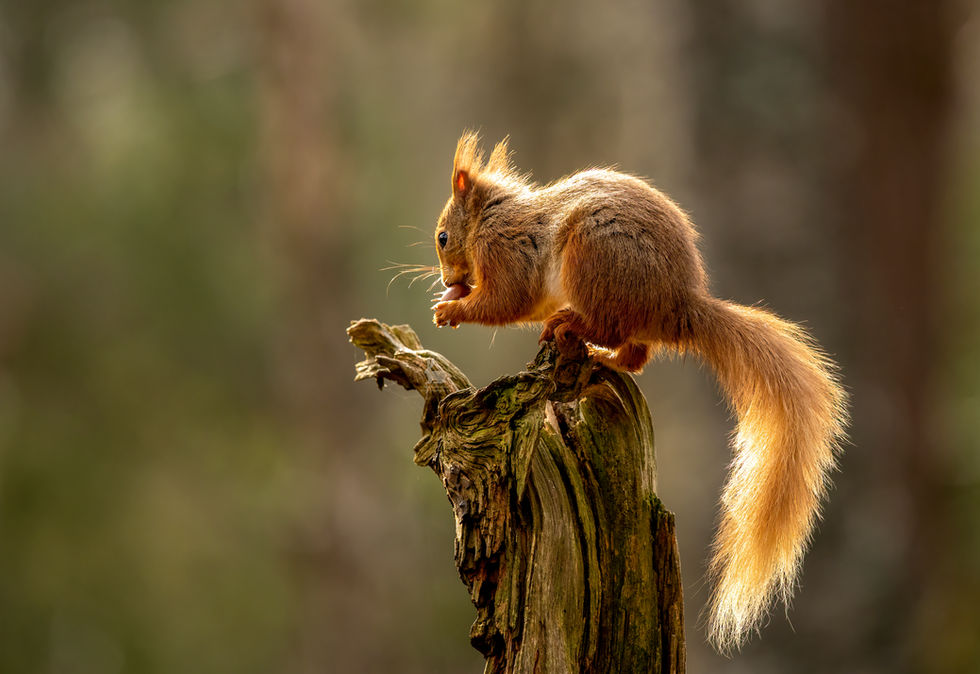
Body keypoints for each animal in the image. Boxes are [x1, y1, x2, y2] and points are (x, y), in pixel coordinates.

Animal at [430, 132, 848, 652]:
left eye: (443, 237)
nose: (447, 280)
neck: (494, 214)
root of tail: (677, 307)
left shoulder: (508, 251)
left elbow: (509, 300)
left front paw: (452, 309)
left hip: (592, 260)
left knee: (608, 328)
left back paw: (571, 325)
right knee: (634, 357)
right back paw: (599, 354)